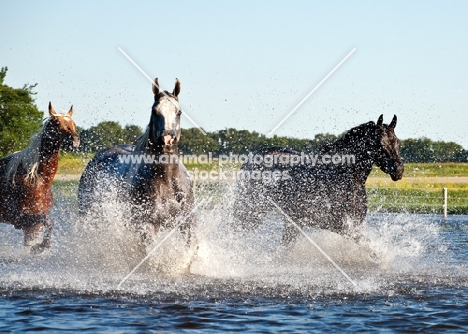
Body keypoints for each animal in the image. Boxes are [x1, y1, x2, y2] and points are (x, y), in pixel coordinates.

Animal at [0, 102, 79, 253]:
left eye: (73, 124)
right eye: (56, 123)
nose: (75, 141)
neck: (38, 179)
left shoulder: (33, 224)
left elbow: (47, 225)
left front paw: (38, 247)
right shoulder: (21, 217)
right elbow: (49, 222)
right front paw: (38, 248)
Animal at [77, 77, 195, 245]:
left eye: (178, 112)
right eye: (154, 111)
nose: (167, 138)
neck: (165, 180)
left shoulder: (188, 224)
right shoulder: (146, 226)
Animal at [232, 115, 404, 245]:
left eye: (397, 142)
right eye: (379, 144)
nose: (399, 170)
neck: (343, 178)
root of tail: (251, 159)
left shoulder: (354, 225)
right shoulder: (342, 226)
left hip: (290, 221)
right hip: (250, 213)